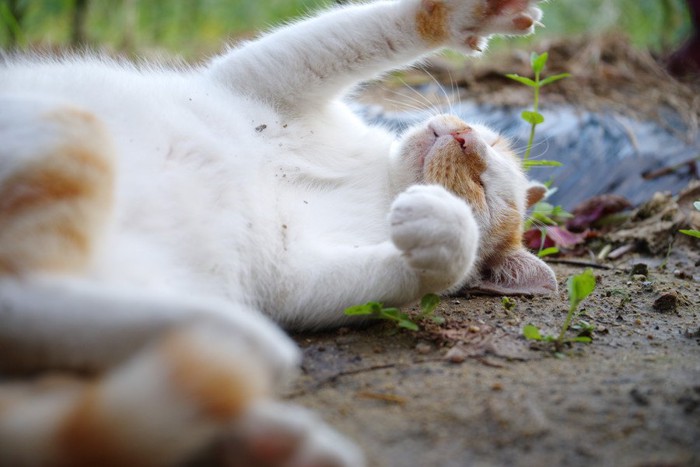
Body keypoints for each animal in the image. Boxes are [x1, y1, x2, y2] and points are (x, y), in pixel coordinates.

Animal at [1, 0, 556, 466]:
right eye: (488, 147)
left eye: (481, 188)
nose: (464, 136)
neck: (375, 181)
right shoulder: (273, 76)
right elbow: (373, 27)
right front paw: (472, 13)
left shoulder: (298, 277)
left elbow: (431, 266)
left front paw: (442, 223)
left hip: (71, 138)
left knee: (27, 303)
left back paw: (253, 382)